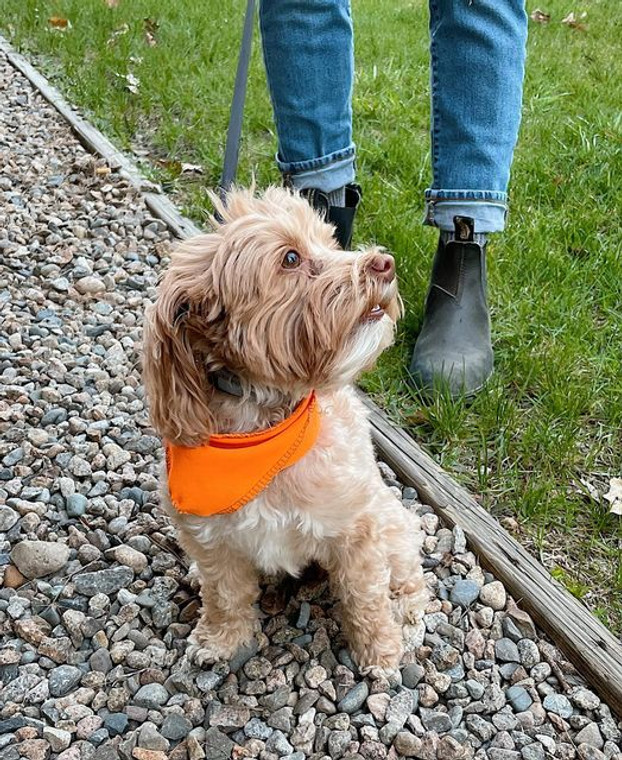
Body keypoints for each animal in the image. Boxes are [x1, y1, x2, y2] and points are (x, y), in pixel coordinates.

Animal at [144, 189, 428, 672]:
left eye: (330, 241)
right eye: (291, 258)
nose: (384, 263)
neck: (260, 428)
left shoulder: (358, 529)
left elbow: (365, 597)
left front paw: (380, 649)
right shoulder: (212, 540)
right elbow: (226, 595)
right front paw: (221, 639)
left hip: (393, 520)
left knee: (408, 573)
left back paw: (407, 617)